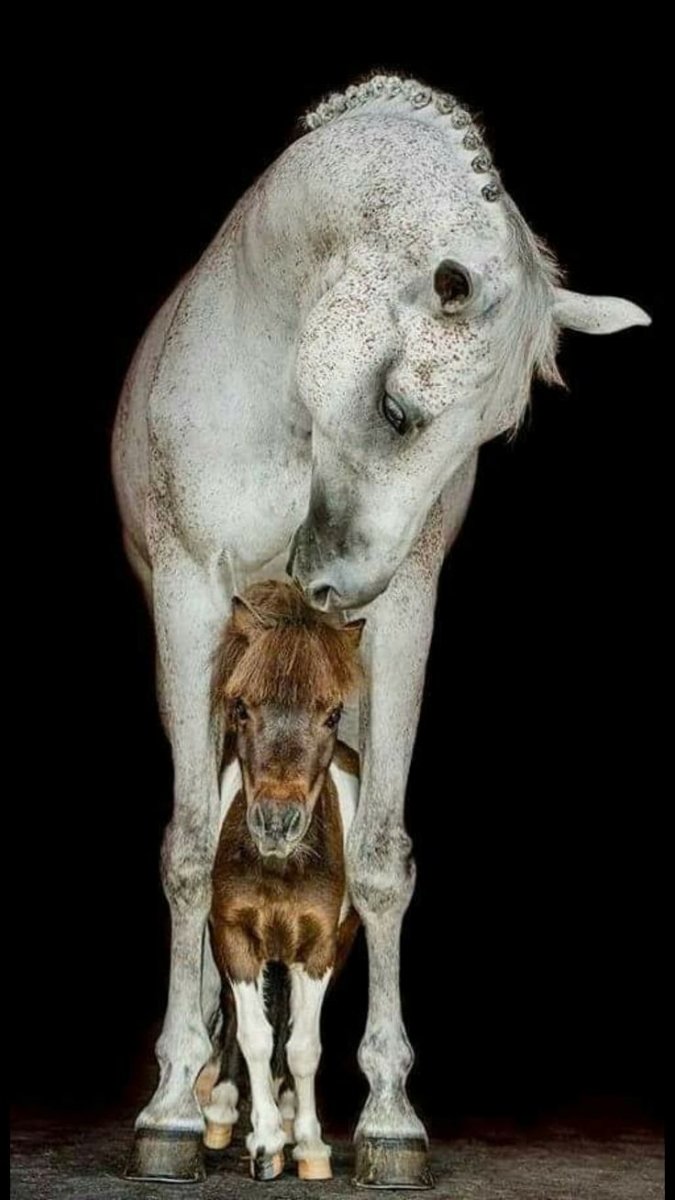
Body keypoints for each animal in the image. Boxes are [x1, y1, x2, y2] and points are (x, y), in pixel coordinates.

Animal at [203, 579, 363, 1181]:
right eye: (241, 708)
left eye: (333, 713)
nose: (276, 822)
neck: (282, 869)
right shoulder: (233, 936)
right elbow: (252, 1032)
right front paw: (265, 1141)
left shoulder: (317, 948)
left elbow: (302, 1046)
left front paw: (309, 1144)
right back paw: (227, 1111)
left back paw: (292, 1113)